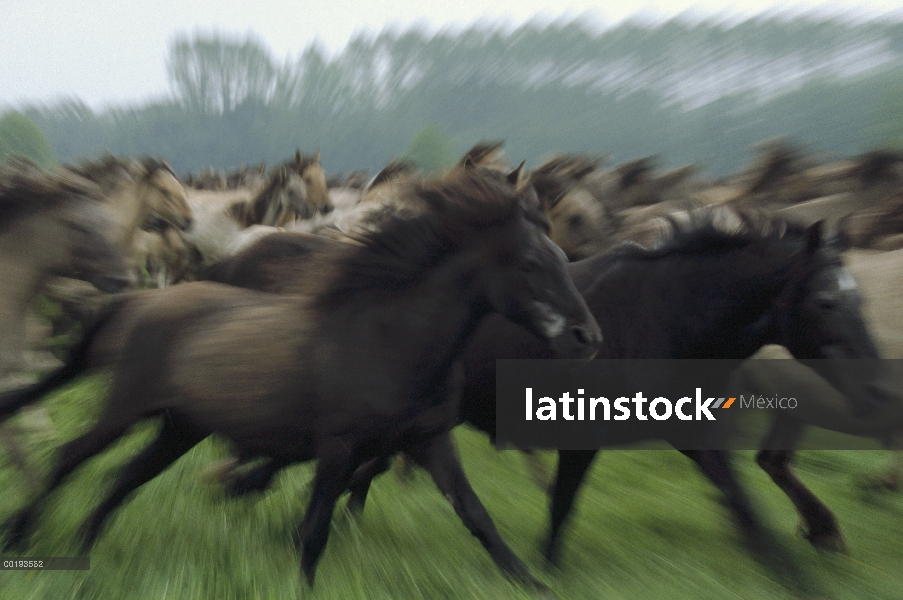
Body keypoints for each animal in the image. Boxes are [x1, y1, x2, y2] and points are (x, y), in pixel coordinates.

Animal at [1, 166, 608, 588]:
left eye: (562, 255)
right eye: (530, 264)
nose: (587, 337)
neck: (394, 342)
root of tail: (136, 303)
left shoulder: (431, 442)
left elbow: (478, 518)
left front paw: (532, 583)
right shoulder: (338, 446)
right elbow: (314, 531)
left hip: (180, 428)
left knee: (121, 479)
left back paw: (85, 554)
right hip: (127, 408)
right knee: (73, 457)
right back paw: (23, 536)